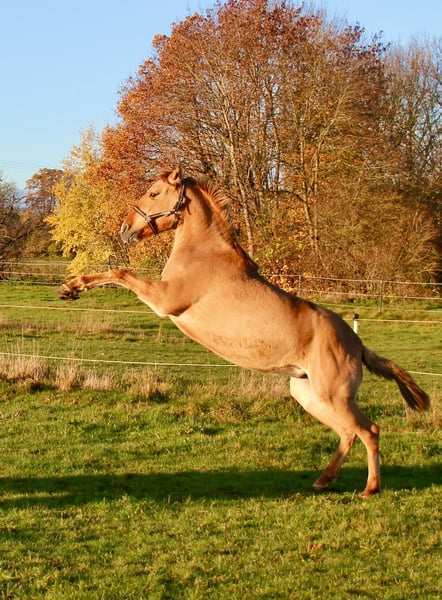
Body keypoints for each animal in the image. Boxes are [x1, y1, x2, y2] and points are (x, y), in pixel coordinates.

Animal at [58, 167, 430, 497]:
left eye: (153, 193)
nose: (125, 229)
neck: (203, 252)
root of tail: (358, 343)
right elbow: (117, 273)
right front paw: (69, 289)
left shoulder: (165, 300)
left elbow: (120, 272)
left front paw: (71, 287)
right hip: (310, 396)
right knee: (348, 434)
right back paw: (323, 481)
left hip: (334, 397)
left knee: (369, 431)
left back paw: (370, 489)